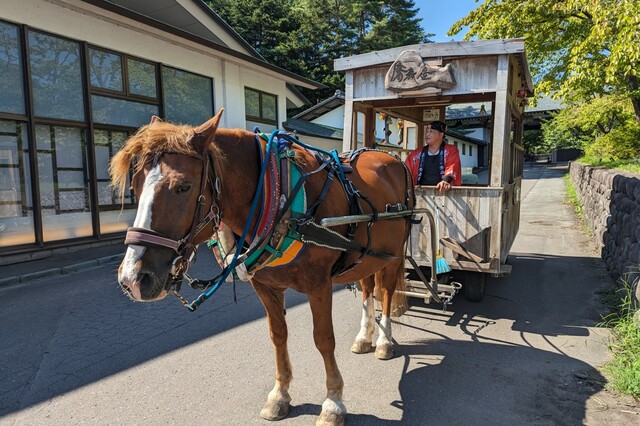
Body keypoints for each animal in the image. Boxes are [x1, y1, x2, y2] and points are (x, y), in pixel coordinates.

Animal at [110, 109, 414, 426]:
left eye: (183, 186)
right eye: (134, 186)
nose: (133, 279)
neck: (279, 196)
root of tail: (388, 157)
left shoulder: (319, 285)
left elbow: (323, 339)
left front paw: (333, 402)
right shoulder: (265, 286)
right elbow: (278, 336)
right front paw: (280, 395)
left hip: (392, 256)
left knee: (385, 292)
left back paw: (384, 341)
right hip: (366, 256)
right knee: (368, 288)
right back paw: (364, 337)